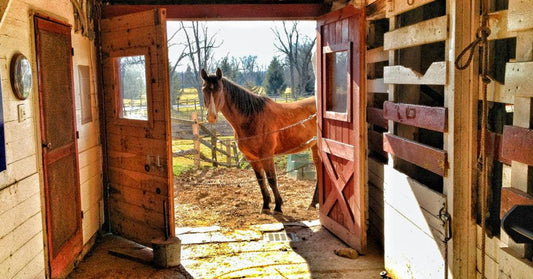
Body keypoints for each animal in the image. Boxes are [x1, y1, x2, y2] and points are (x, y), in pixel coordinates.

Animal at [198, 68, 316, 217]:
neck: (253, 118)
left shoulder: (267, 156)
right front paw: (265, 205)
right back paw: (313, 204)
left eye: (219, 89)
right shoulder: (252, 158)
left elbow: (271, 179)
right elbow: (260, 180)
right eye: (204, 89)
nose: (211, 116)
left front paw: (278, 207)